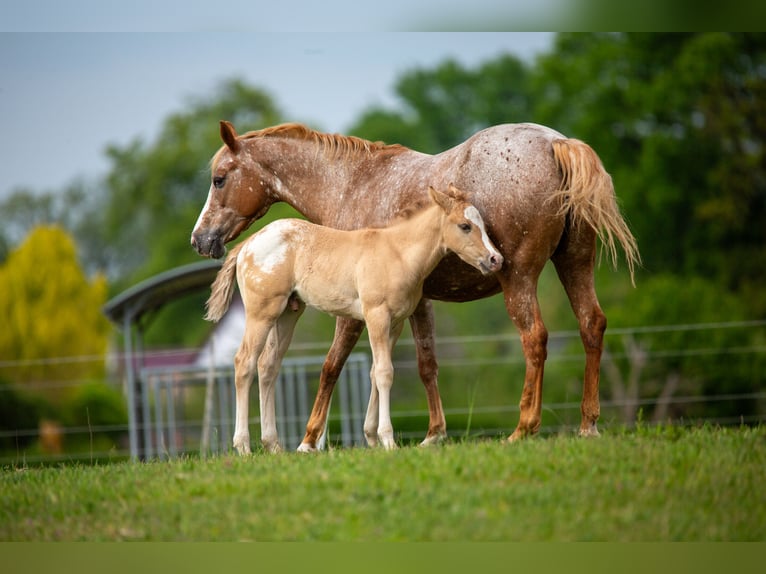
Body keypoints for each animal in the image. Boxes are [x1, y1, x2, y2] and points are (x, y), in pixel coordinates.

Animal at [204, 184, 503, 453]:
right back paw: (243, 446)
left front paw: (372, 438)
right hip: (261, 313)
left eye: (482, 224)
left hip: (287, 313)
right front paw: (388, 440)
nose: (495, 259)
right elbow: (384, 372)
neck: (397, 252)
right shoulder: (376, 315)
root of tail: (247, 244)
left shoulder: (395, 323)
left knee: (268, 366)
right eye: (465, 226)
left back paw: (273, 446)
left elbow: (375, 371)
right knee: (244, 363)